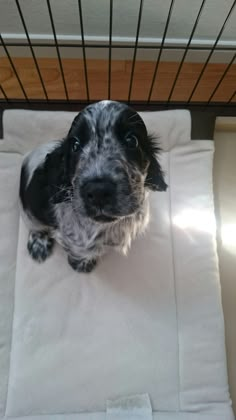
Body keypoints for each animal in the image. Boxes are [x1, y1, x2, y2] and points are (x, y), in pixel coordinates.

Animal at [20, 101, 168, 272]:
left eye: (132, 140)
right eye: (75, 145)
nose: (98, 192)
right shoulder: (74, 242)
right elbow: (79, 253)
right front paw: (82, 264)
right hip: (29, 210)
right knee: (34, 225)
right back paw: (39, 243)